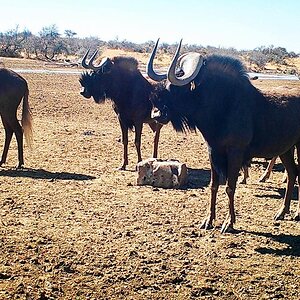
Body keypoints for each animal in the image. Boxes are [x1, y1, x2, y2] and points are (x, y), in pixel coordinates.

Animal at [148, 39, 300, 232]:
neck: (224, 106)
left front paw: (229, 222)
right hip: (286, 150)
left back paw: (296, 213)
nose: (156, 114)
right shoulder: (213, 151)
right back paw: (282, 212)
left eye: (176, 81)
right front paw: (208, 220)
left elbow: (230, 187)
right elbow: (213, 186)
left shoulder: (235, 153)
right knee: (293, 173)